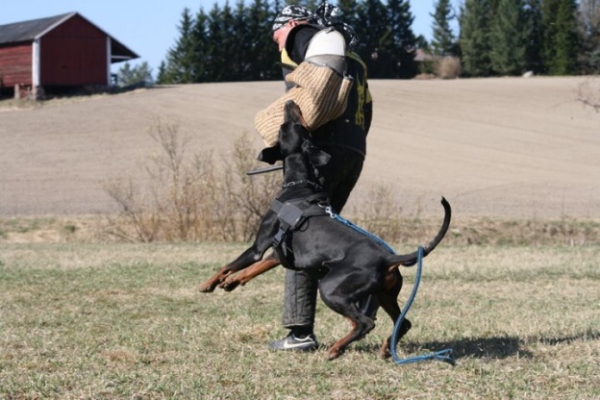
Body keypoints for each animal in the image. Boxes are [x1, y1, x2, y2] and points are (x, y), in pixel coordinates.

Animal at [199, 99, 452, 360]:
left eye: (286, 126)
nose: (291, 102)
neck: (299, 186)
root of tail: (389, 258)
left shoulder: (259, 245)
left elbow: (231, 264)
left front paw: (209, 284)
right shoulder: (279, 254)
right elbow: (253, 269)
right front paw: (232, 283)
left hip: (331, 289)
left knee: (365, 322)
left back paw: (336, 349)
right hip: (383, 293)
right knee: (402, 322)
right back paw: (383, 349)